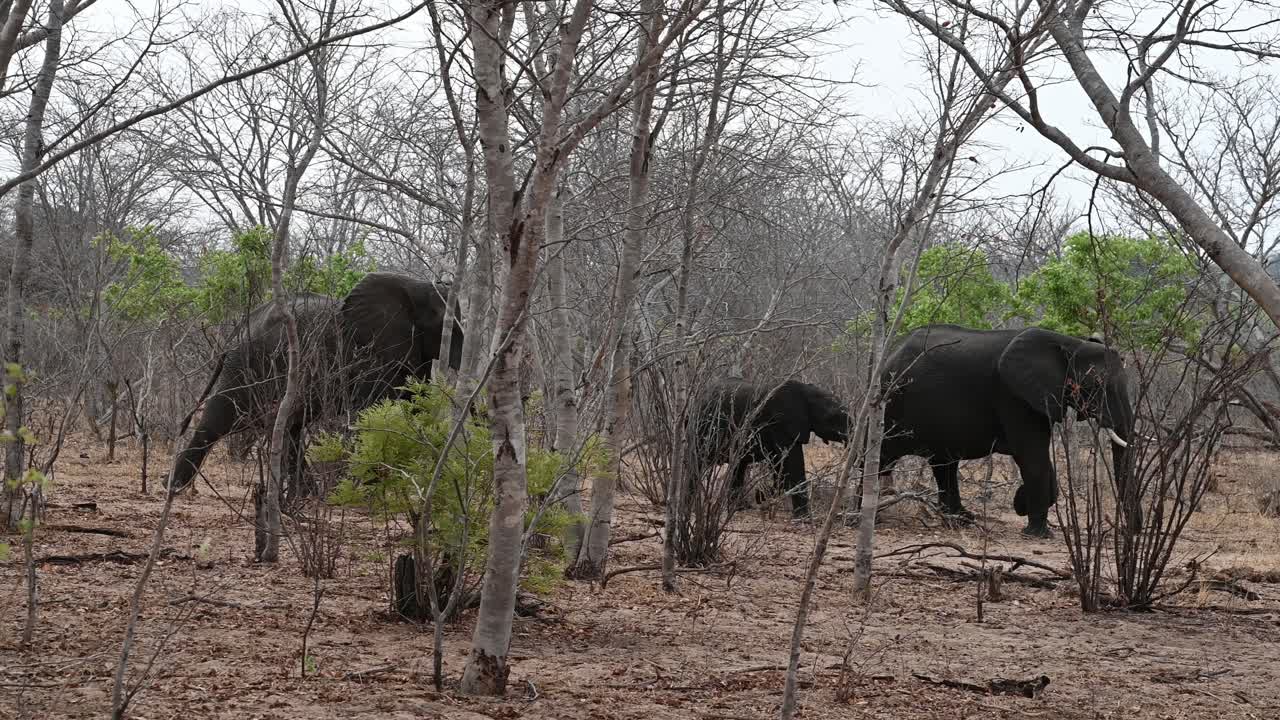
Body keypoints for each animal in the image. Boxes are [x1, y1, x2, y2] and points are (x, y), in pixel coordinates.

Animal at [169, 272, 464, 495]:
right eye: (446, 324)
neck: (414, 288)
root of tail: (239, 329)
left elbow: (415, 407)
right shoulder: (372, 353)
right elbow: (373, 412)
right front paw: (372, 490)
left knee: (289, 423)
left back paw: (308, 496)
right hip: (248, 362)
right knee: (220, 418)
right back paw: (174, 487)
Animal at [692, 379, 852, 518]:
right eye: (833, 416)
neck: (806, 392)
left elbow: (779, 466)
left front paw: (761, 496)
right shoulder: (781, 423)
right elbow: (792, 464)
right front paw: (803, 518)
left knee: (738, 467)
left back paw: (740, 508)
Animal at [877, 324, 1134, 537]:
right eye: (1098, 386)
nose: (1125, 531)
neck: (1070, 344)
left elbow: (1038, 458)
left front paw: (1023, 504)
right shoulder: (1014, 395)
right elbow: (1032, 457)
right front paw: (1036, 533)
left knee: (944, 464)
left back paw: (961, 520)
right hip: (890, 406)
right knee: (883, 455)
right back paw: (873, 517)